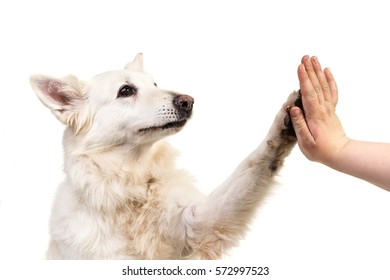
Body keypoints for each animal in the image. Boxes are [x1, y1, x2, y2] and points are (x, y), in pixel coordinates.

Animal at [30, 53, 300, 260]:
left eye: (155, 85)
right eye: (126, 90)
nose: (188, 101)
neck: (130, 187)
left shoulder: (199, 222)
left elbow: (254, 164)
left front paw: (285, 124)